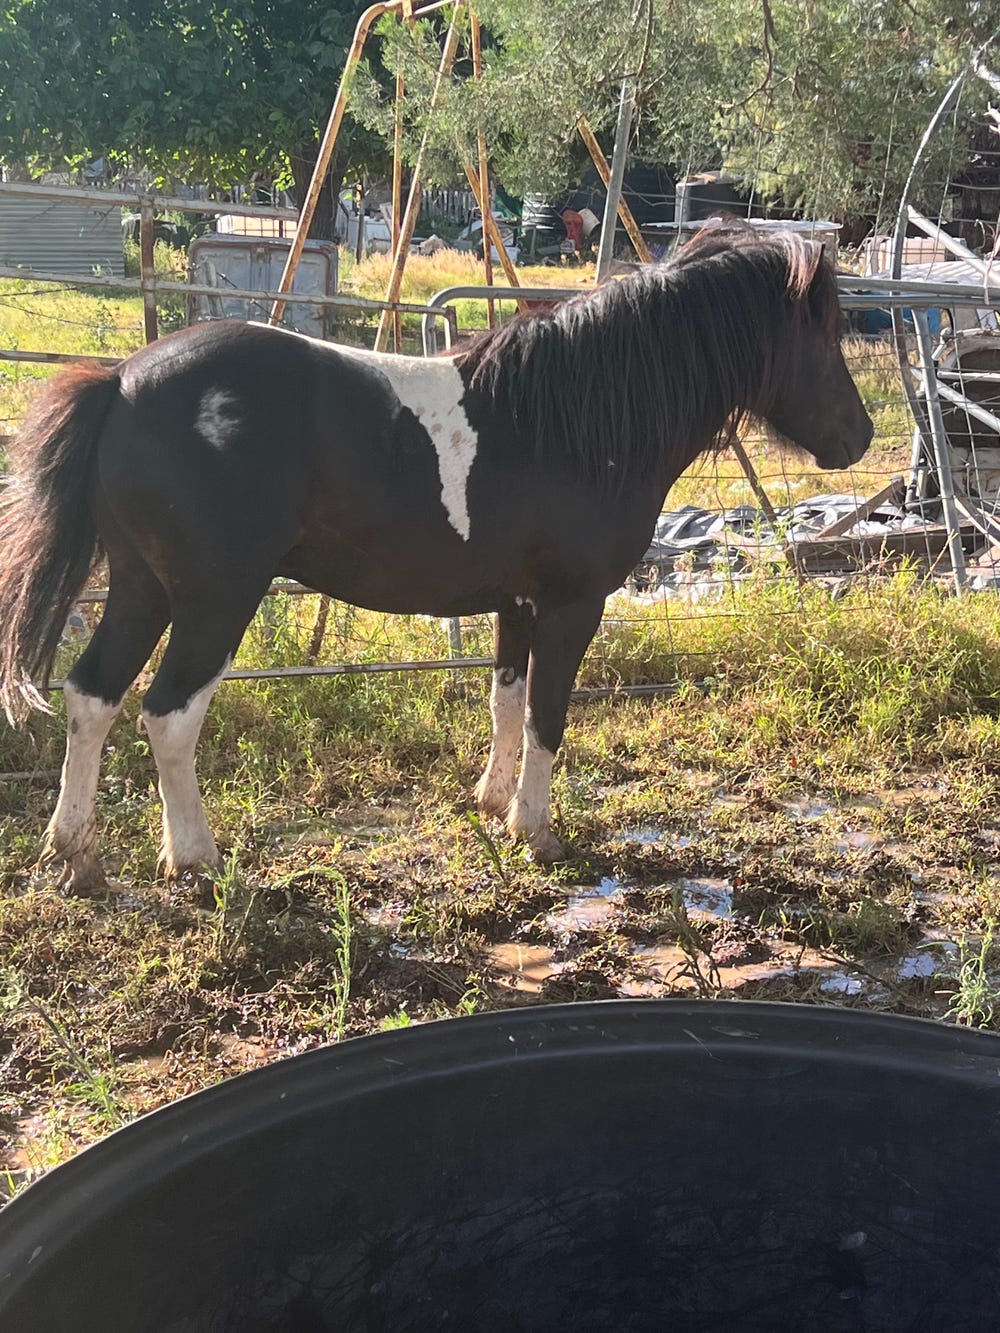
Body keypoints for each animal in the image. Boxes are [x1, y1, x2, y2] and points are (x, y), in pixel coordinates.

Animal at [0, 226, 873, 894]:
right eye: (826, 334)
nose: (860, 436)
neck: (577, 422)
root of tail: (122, 381)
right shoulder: (571, 604)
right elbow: (550, 714)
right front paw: (535, 830)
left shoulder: (517, 603)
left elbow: (506, 701)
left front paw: (491, 802)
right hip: (215, 599)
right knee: (167, 714)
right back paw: (196, 858)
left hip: (142, 589)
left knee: (92, 696)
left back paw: (76, 854)